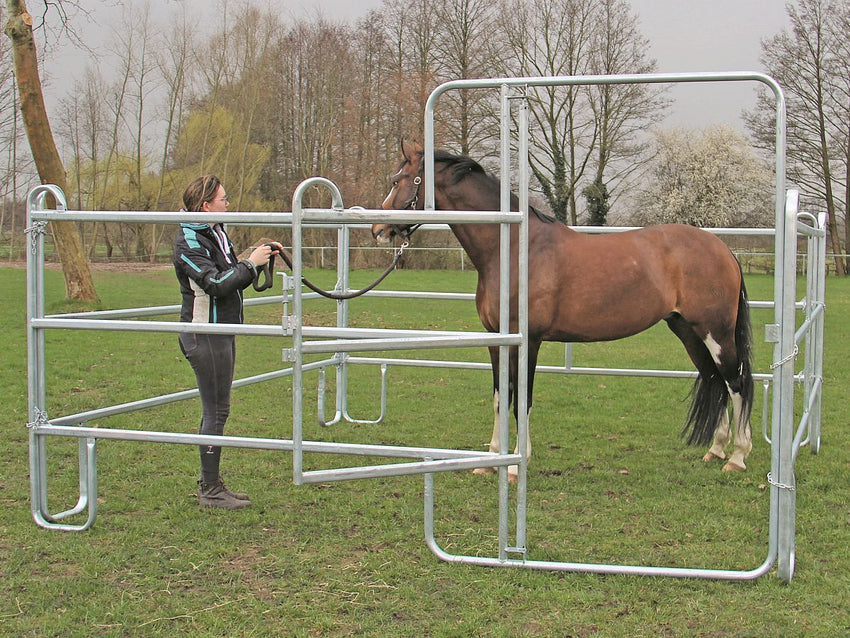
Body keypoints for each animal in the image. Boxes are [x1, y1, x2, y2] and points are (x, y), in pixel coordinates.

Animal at [374, 140, 752, 480]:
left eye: (398, 180)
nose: (378, 229)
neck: (513, 249)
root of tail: (723, 249)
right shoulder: (497, 339)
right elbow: (500, 398)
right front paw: (491, 461)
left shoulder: (529, 340)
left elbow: (521, 400)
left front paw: (516, 465)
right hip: (688, 331)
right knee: (715, 379)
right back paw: (716, 449)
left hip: (716, 332)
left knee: (735, 381)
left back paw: (737, 456)